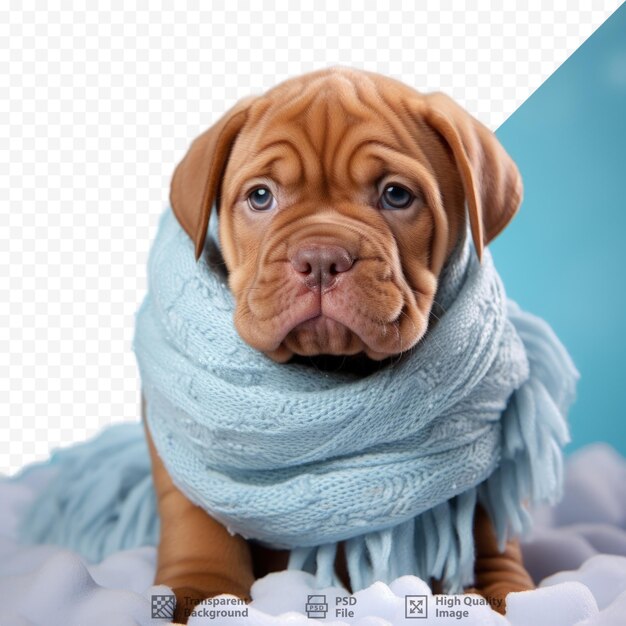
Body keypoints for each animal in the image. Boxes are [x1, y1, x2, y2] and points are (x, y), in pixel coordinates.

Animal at [141, 66, 532, 620]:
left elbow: (484, 520)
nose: (323, 258)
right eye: (260, 197)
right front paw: (200, 594)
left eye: (396, 195)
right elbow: (198, 515)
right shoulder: (190, 431)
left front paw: (503, 594)